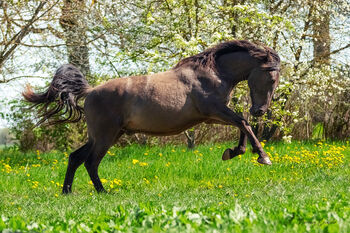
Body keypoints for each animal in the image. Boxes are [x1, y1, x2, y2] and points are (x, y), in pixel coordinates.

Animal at [22, 40, 278, 193]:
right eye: (272, 78)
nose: (260, 110)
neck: (211, 74)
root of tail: (90, 91)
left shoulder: (211, 116)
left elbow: (242, 123)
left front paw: (233, 152)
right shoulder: (214, 111)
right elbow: (243, 122)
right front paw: (262, 157)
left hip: (106, 135)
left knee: (75, 158)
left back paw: (67, 192)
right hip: (105, 137)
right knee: (90, 162)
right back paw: (103, 191)